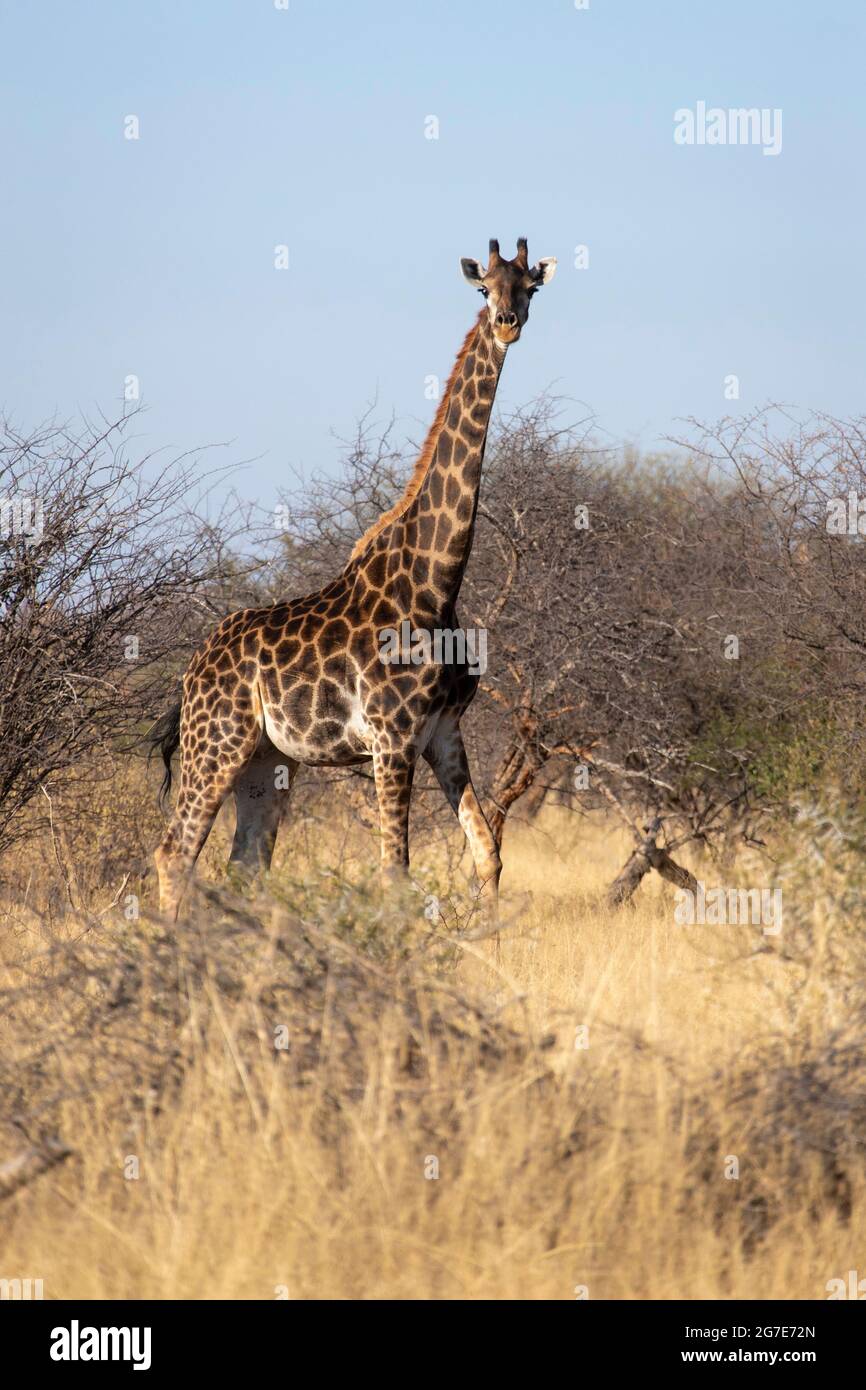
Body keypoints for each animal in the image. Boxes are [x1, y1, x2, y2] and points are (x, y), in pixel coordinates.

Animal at [150, 239, 556, 917]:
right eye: (483, 289)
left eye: (531, 287)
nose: (506, 324)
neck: (436, 582)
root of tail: (191, 671)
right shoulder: (392, 739)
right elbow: (396, 873)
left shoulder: (443, 733)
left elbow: (488, 855)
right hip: (217, 743)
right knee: (174, 852)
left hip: (267, 760)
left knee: (246, 862)